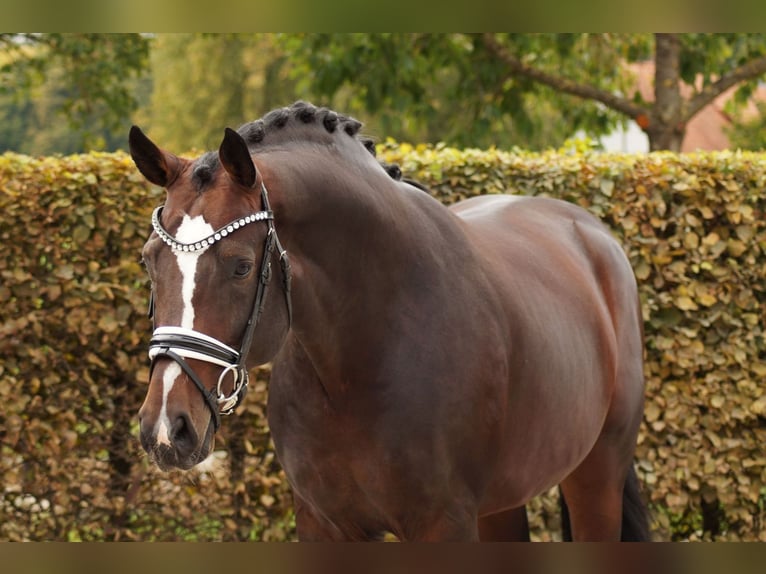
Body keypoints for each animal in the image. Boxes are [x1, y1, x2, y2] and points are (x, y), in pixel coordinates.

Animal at [130, 101, 649, 541]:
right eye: (148, 261)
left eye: (239, 266)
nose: (167, 427)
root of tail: (594, 233)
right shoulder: (325, 523)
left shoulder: (443, 525)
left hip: (597, 475)